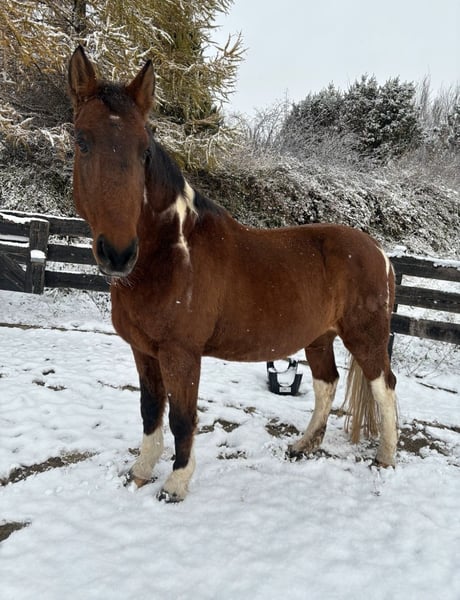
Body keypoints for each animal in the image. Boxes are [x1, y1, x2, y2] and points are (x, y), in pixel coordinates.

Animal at [68, 46, 398, 502]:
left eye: (143, 151)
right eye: (81, 141)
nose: (118, 253)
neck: (172, 252)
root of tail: (380, 253)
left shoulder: (181, 354)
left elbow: (182, 417)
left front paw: (175, 483)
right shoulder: (143, 351)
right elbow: (151, 411)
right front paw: (140, 471)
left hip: (365, 336)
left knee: (384, 386)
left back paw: (386, 457)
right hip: (319, 337)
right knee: (326, 384)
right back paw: (303, 444)